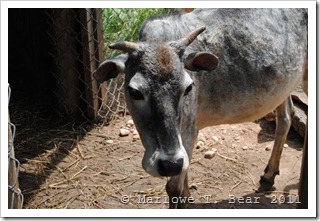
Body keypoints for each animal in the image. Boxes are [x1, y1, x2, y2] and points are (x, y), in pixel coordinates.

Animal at [95, 8, 308, 208]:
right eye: (134, 92)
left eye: (188, 87)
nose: (169, 165)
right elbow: (183, 177)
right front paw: (188, 199)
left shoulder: (189, 131)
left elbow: (174, 187)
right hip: (284, 88)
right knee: (286, 117)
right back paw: (269, 175)